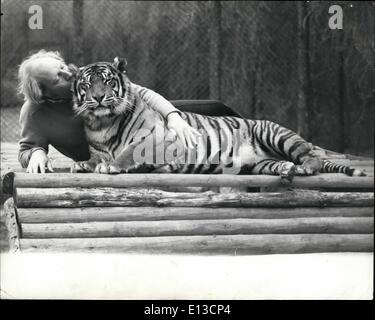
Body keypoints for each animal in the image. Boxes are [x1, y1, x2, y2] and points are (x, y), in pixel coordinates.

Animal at [70, 57, 364, 180]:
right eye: (87, 84)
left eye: (107, 81)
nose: (98, 98)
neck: (102, 123)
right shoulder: (98, 147)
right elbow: (94, 158)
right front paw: (84, 164)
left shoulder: (159, 140)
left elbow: (128, 152)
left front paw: (112, 166)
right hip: (259, 165)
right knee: (279, 164)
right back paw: (286, 169)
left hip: (276, 133)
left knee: (312, 156)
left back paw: (303, 168)